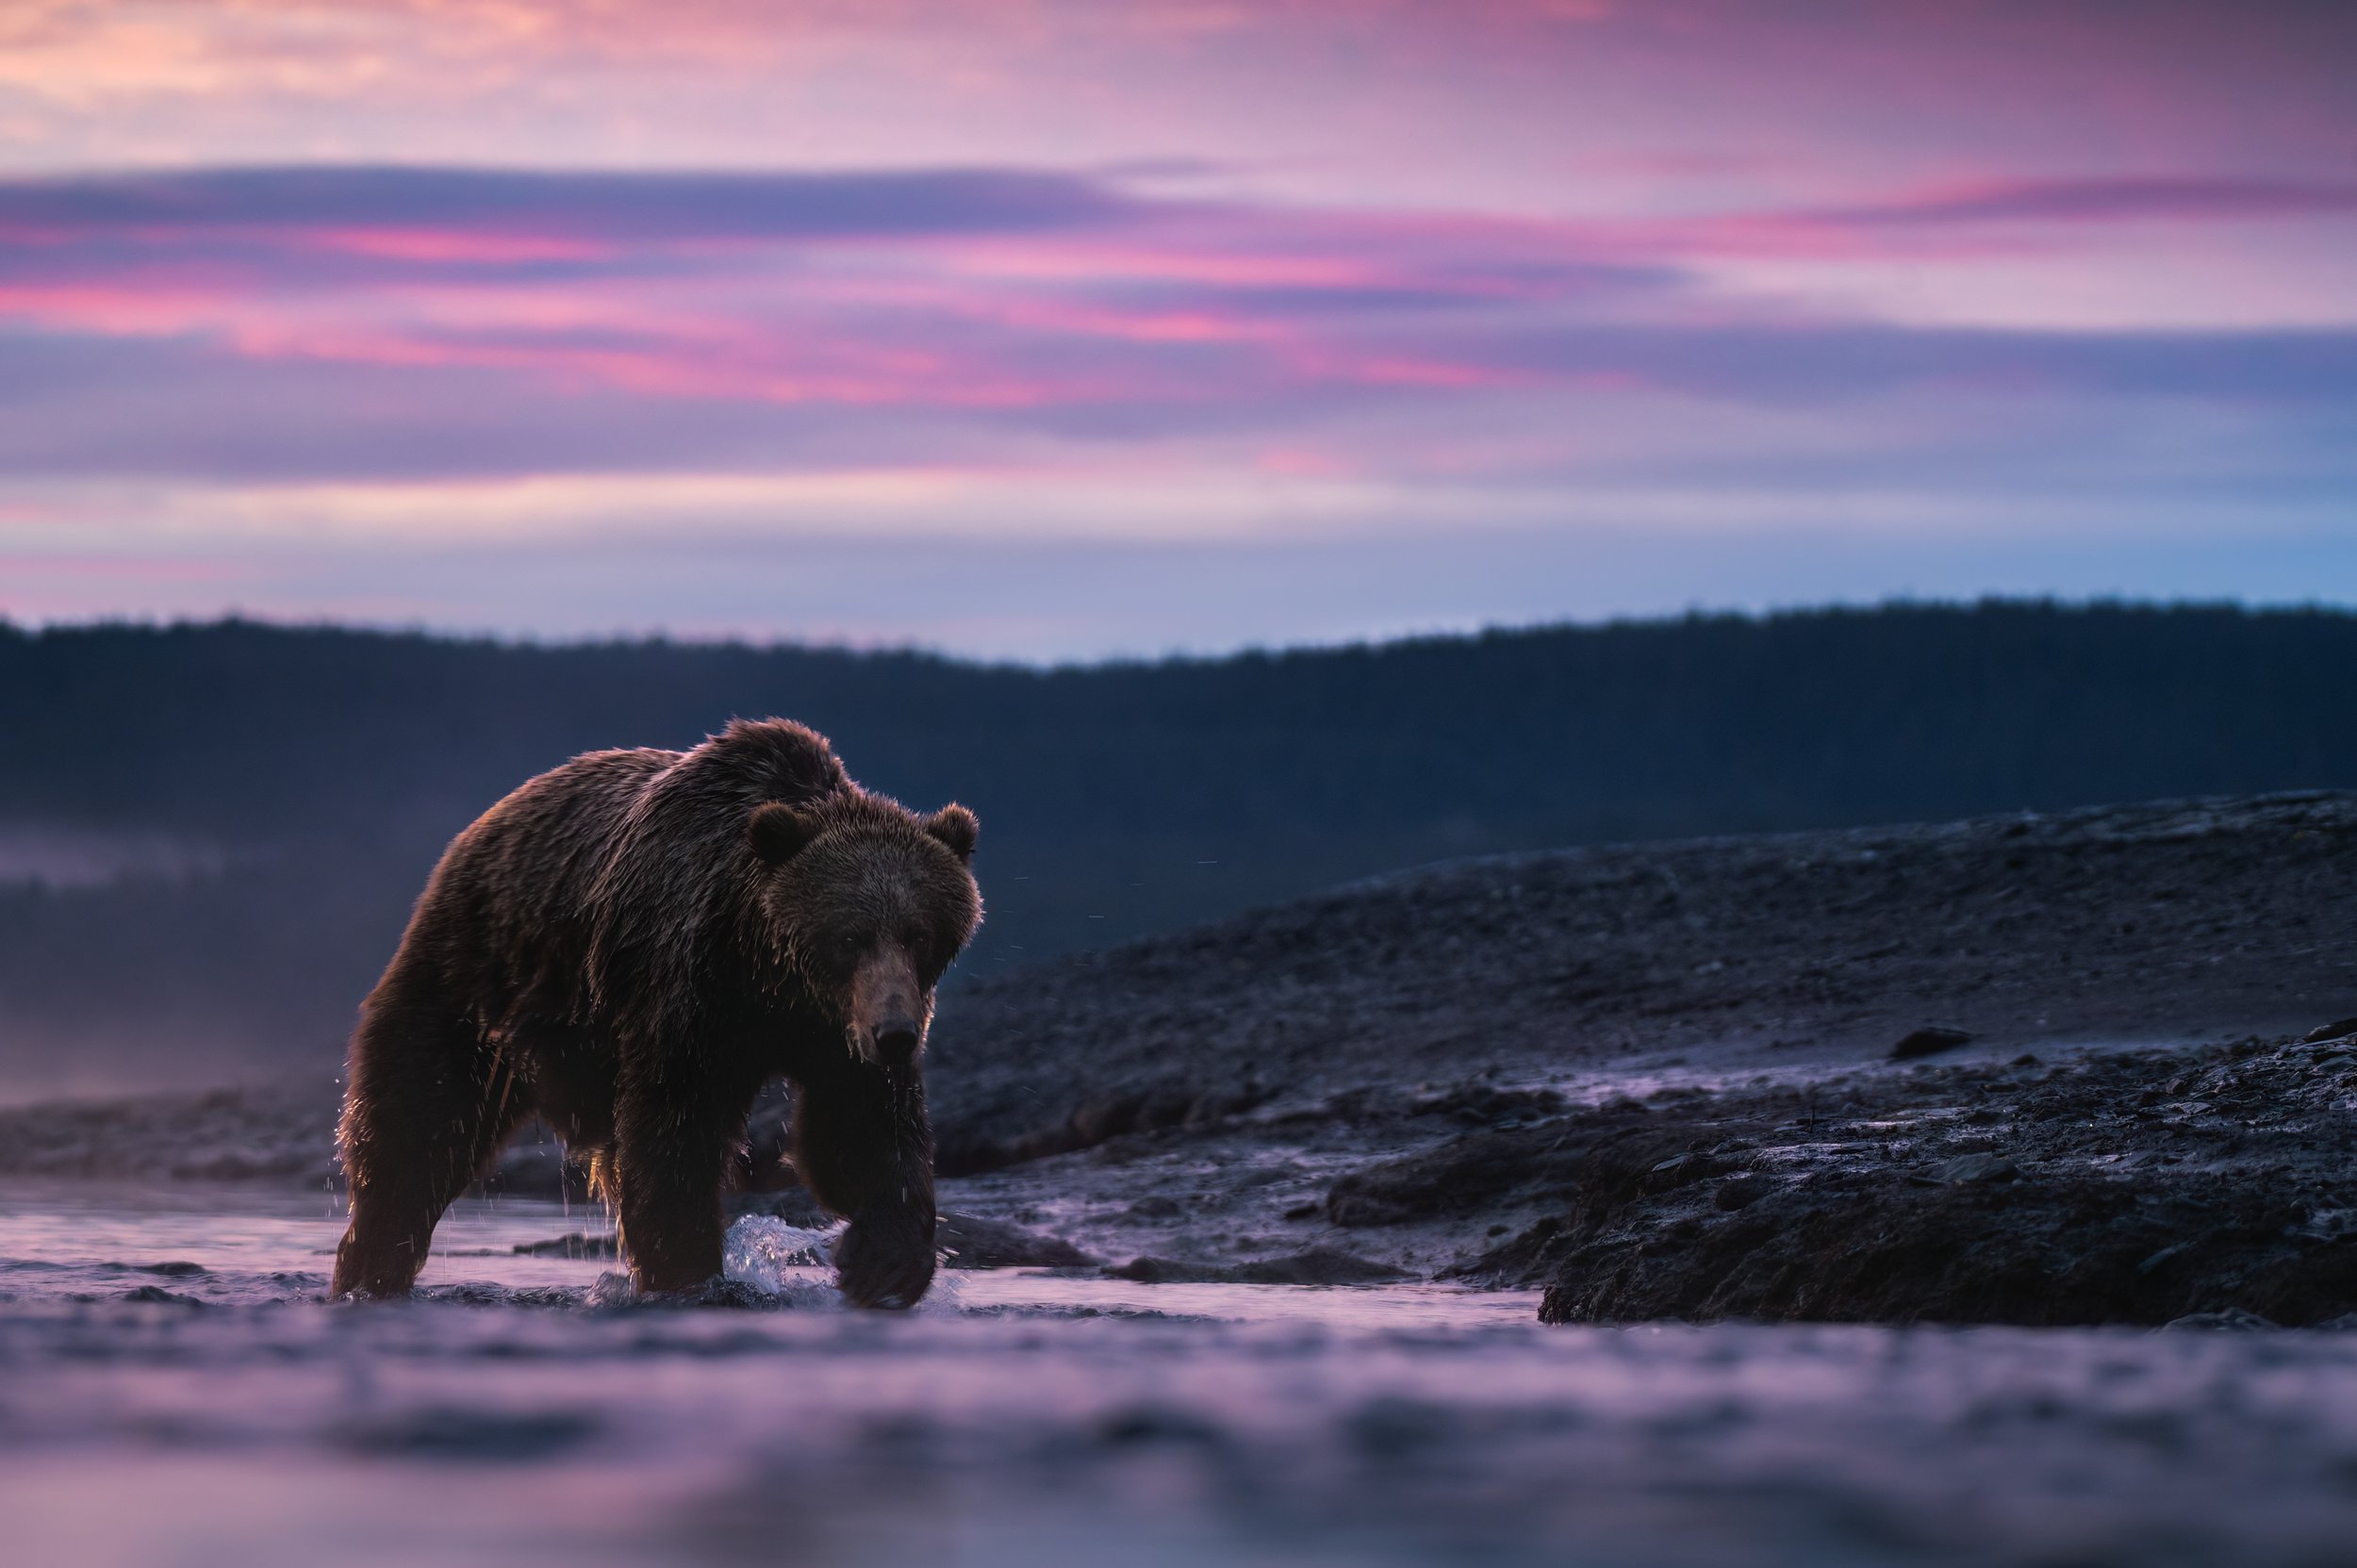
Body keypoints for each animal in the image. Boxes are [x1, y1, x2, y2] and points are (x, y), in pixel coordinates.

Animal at [330, 717, 976, 1301]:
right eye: (849, 938)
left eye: (918, 935)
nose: (896, 1034)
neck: (768, 976)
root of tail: (472, 834)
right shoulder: (688, 990)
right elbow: (672, 1130)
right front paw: (690, 1273)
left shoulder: (832, 1033)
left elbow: (859, 1132)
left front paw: (884, 1265)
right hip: (473, 983)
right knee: (416, 1129)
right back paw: (368, 1269)